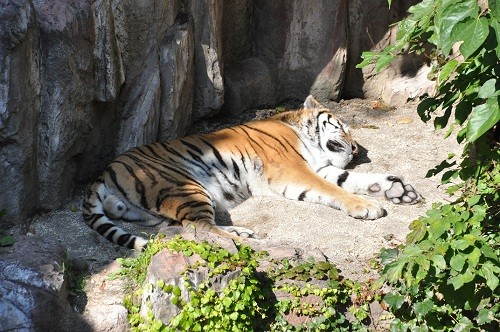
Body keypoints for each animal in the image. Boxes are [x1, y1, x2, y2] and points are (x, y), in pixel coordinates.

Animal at [82, 94, 418, 250]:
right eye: (344, 128)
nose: (357, 149)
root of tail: (104, 173)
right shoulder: (294, 170)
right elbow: (335, 189)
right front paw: (368, 206)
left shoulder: (320, 168)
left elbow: (351, 180)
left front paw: (397, 189)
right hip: (184, 185)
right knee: (200, 228)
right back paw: (248, 241)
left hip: (162, 208)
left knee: (182, 228)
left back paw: (242, 232)